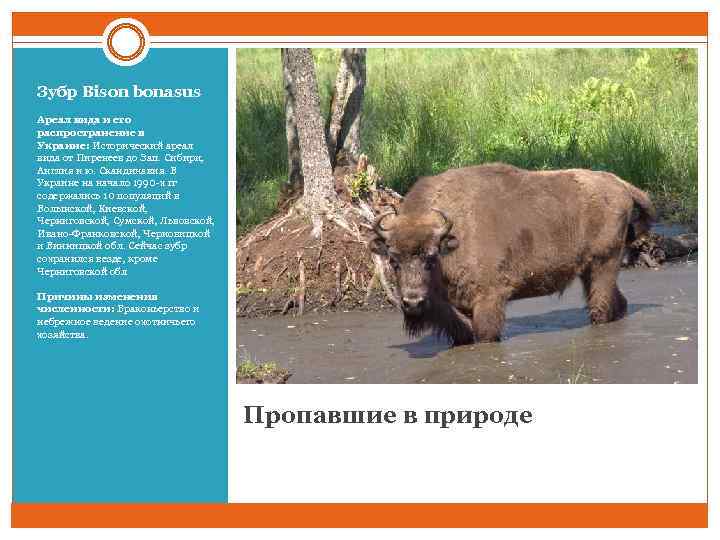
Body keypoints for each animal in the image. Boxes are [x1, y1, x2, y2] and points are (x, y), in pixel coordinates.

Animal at [370, 163, 655, 346]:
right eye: (393, 260)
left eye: (430, 258)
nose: (412, 302)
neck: (453, 237)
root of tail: (620, 184)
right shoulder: (453, 310)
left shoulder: (489, 299)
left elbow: (486, 334)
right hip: (590, 270)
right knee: (618, 301)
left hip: (603, 265)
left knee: (601, 307)